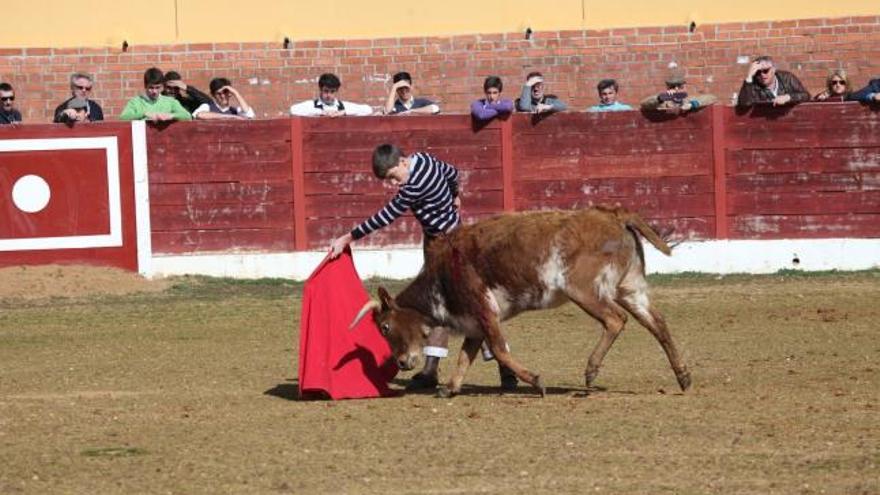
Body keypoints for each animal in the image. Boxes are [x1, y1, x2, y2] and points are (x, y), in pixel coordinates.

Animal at [354, 207, 692, 398]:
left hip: (583, 289)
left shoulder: (483, 310)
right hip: (630, 288)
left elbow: (500, 350)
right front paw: (449, 388)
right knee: (657, 323)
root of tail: (614, 214)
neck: (443, 275)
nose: (401, 363)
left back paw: (591, 371)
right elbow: (465, 356)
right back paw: (683, 376)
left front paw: (536, 382)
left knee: (615, 320)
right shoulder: (474, 322)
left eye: (385, 327)